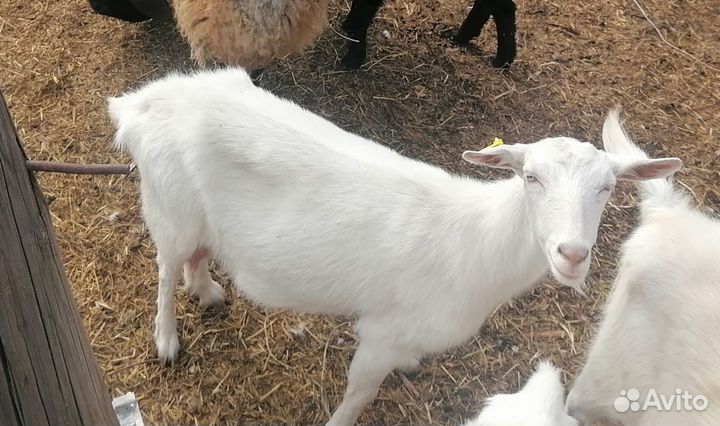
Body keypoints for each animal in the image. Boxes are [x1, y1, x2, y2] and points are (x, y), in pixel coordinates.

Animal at [108, 68, 680, 426]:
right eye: (530, 177)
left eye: (608, 187)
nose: (572, 254)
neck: (478, 242)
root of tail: (140, 103)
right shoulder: (380, 332)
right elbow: (360, 394)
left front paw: (410, 366)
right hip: (169, 203)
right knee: (165, 268)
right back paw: (166, 340)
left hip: (197, 214)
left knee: (196, 255)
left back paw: (206, 290)